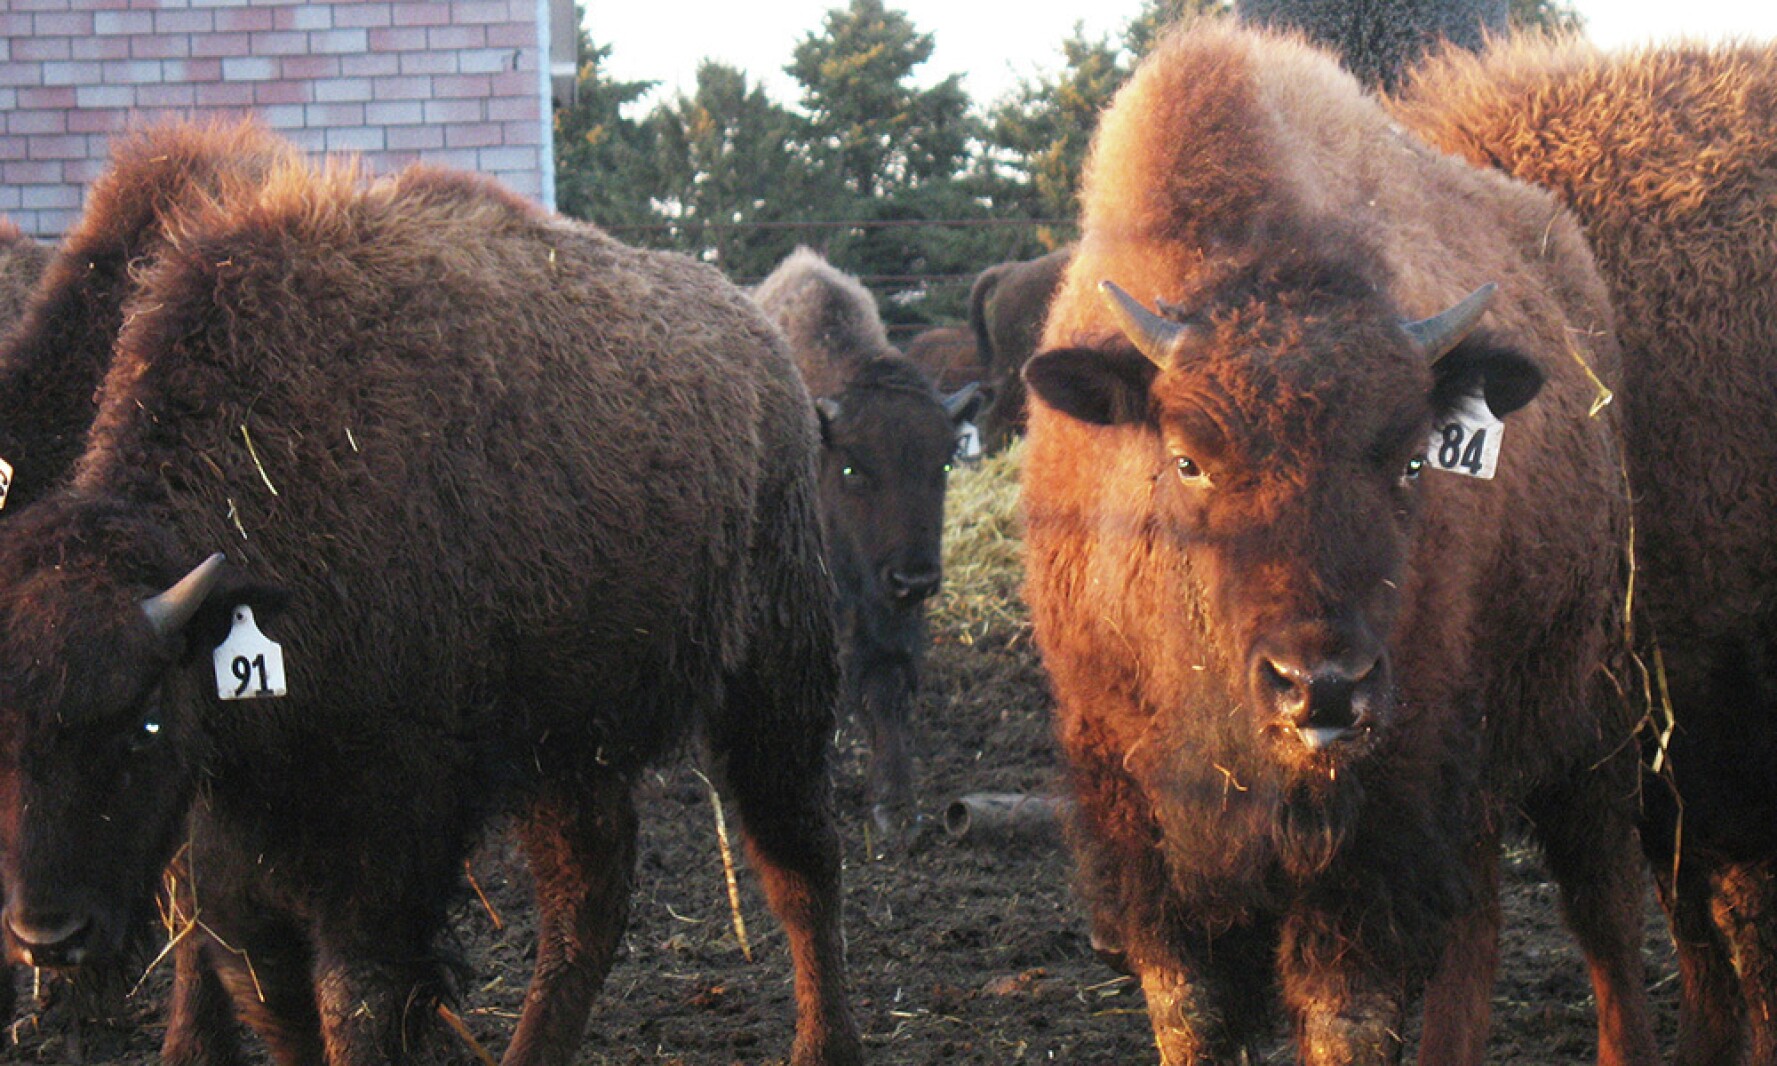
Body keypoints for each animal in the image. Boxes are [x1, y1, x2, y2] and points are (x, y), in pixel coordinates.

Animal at [0, 134, 861, 1065]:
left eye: (145, 722)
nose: (47, 935)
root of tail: (764, 348)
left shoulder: (395, 818)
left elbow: (357, 995)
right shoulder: (236, 820)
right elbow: (263, 984)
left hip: (776, 669)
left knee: (800, 861)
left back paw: (824, 1043)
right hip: (565, 742)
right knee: (588, 902)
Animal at [755, 247, 981, 832]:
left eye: (944, 463)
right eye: (853, 469)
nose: (915, 577)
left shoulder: (886, 605)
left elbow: (887, 678)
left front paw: (895, 805)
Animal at [1021, 25, 1655, 1064]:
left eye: (1410, 459)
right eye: (1187, 459)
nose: (1320, 686)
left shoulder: (1378, 828)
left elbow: (1345, 1011)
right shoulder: (1141, 827)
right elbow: (1191, 1011)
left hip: (1586, 716)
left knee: (1602, 907)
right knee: (1480, 917)